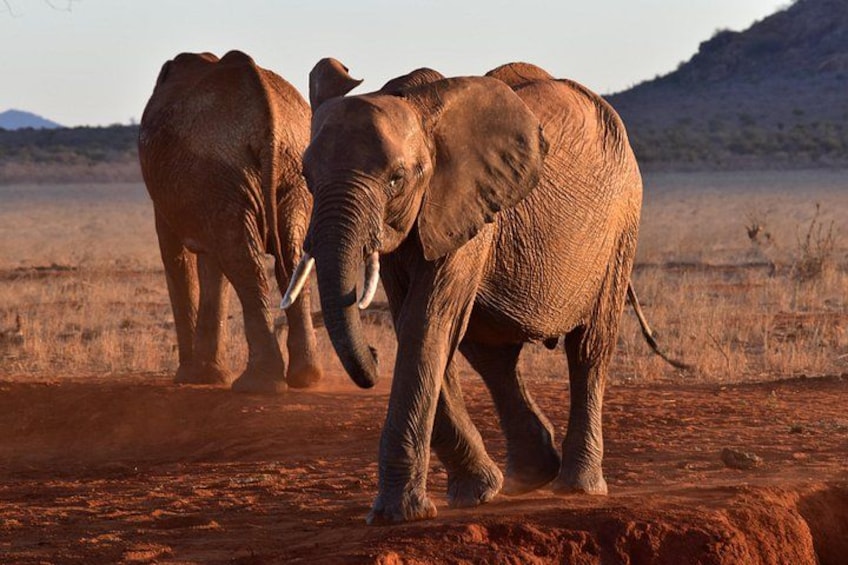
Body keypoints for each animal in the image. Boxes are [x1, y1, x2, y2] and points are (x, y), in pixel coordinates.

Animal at [138, 50, 322, 392]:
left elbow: (177, 256)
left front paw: (190, 378)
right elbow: (213, 264)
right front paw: (207, 377)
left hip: (224, 169)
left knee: (243, 259)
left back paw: (258, 384)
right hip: (288, 170)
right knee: (285, 254)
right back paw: (304, 378)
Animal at [283, 58, 653, 523]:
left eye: (396, 179)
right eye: (307, 177)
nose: (372, 353)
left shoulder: (464, 210)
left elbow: (427, 324)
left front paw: (394, 515)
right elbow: (420, 327)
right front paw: (474, 494)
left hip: (622, 223)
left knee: (588, 348)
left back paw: (576, 486)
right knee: (491, 354)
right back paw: (529, 477)